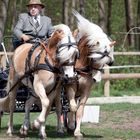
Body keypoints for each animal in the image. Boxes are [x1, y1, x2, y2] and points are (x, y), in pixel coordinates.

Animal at [55, 10, 116, 139]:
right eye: (94, 58)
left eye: (107, 62)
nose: (96, 79)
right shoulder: (70, 86)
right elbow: (72, 107)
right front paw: (71, 125)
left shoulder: (86, 91)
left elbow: (80, 110)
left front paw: (77, 131)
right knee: (61, 107)